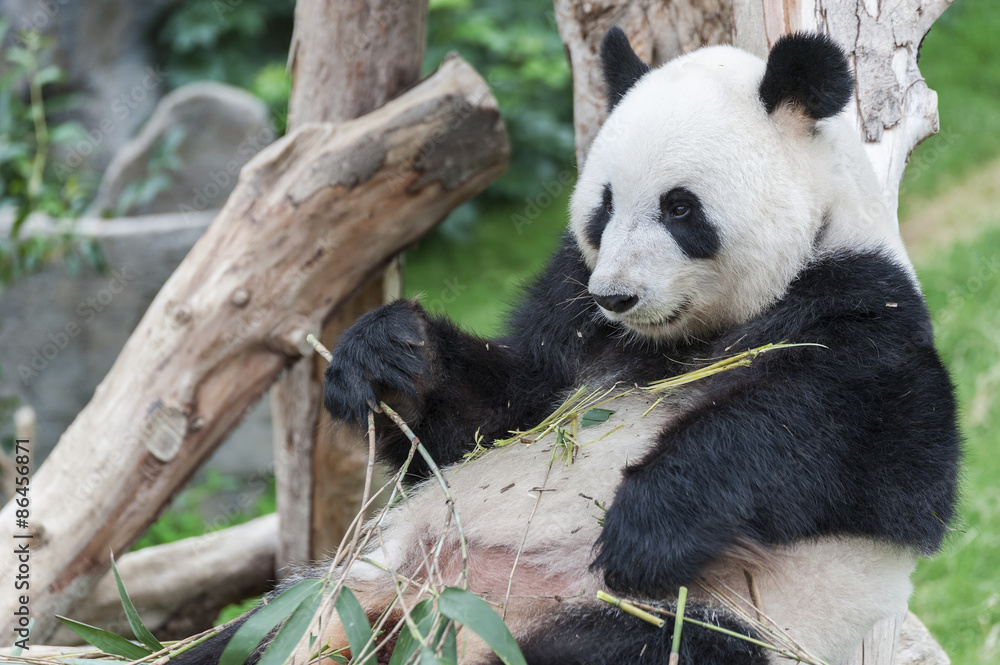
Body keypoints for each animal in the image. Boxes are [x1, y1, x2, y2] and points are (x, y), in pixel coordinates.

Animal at [177, 29, 959, 665]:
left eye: (680, 208)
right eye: (603, 208)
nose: (616, 296)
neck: (676, 340)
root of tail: (446, 613)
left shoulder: (864, 303)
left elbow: (853, 442)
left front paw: (646, 526)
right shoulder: (568, 310)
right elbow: (496, 414)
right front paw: (388, 356)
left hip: (700, 617)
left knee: (642, 646)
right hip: (337, 591)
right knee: (244, 638)